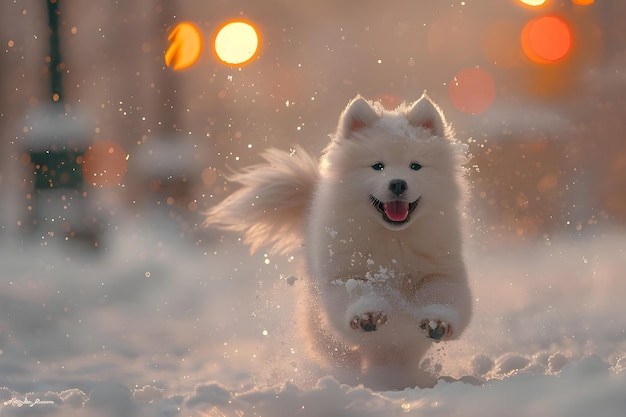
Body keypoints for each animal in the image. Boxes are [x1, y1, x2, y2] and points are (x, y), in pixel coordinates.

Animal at [204, 94, 468, 386]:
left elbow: (443, 295)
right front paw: (368, 314)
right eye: (377, 166)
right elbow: (358, 290)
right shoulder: (344, 273)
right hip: (321, 327)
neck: (392, 238)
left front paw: (438, 322)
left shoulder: (442, 271)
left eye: (416, 166)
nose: (398, 183)